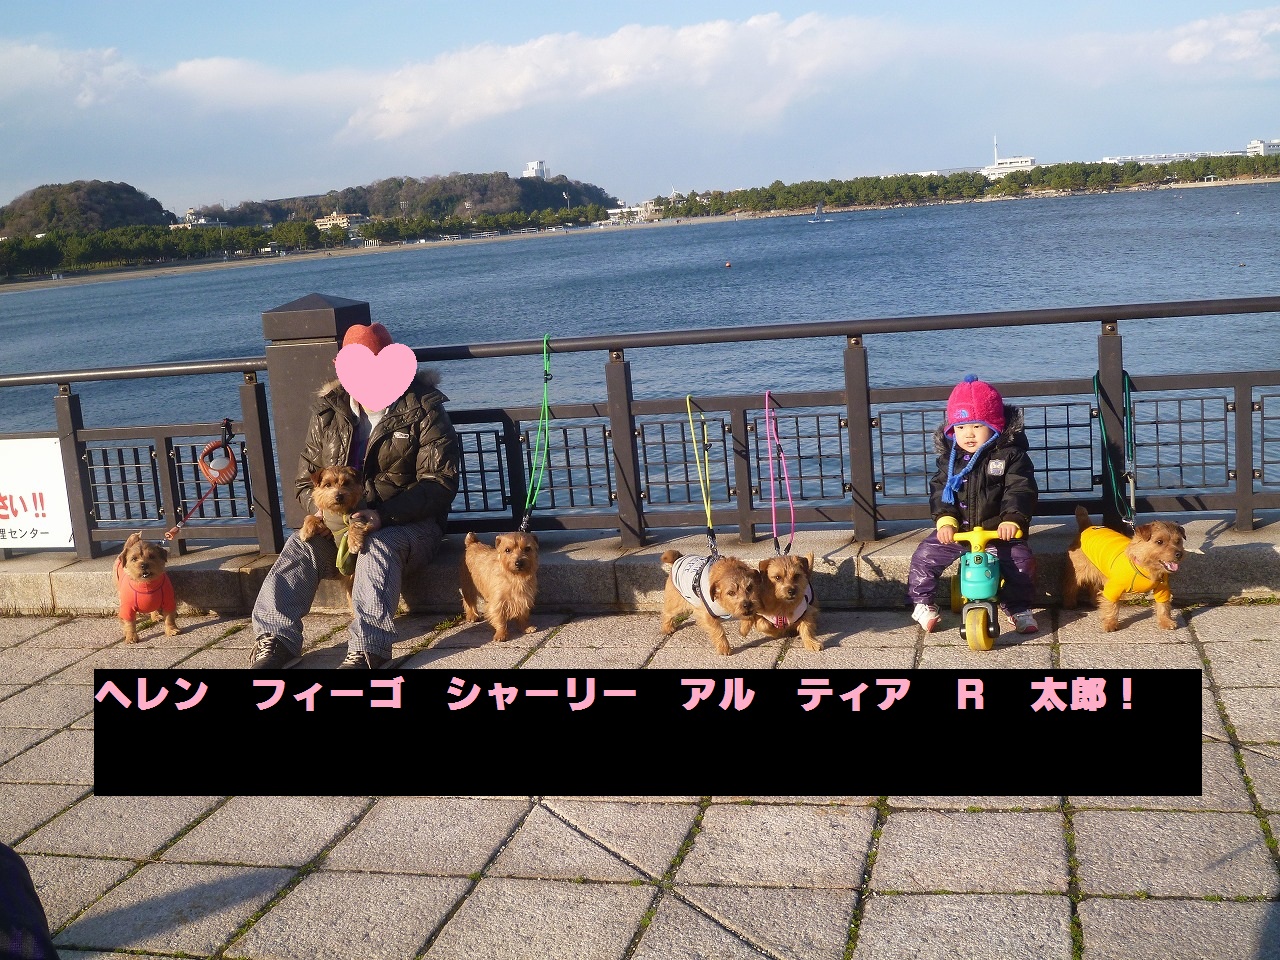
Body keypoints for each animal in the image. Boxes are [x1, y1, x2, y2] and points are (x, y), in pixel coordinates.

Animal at [300, 465, 367, 602]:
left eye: (346, 483)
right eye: (327, 484)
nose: (339, 496)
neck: (338, 512)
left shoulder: (358, 515)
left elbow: (354, 525)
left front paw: (354, 542)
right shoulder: (325, 521)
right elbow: (311, 517)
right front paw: (305, 531)